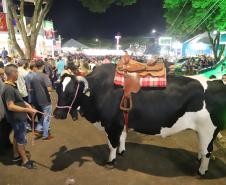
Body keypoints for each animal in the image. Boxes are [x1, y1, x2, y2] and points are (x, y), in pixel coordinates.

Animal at [53, 64, 226, 176]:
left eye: (71, 92)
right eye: (58, 89)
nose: (57, 114)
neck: (100, 91)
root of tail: (217, 82)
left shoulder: (111, 125)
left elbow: (112, 144)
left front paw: (111, 161)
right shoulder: (121, 122)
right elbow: (122, 138)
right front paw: (122, 151)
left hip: (208, 129)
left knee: (208, 151)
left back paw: (202, 170)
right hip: (202, 131)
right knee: (202, 148)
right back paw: (198, 158)